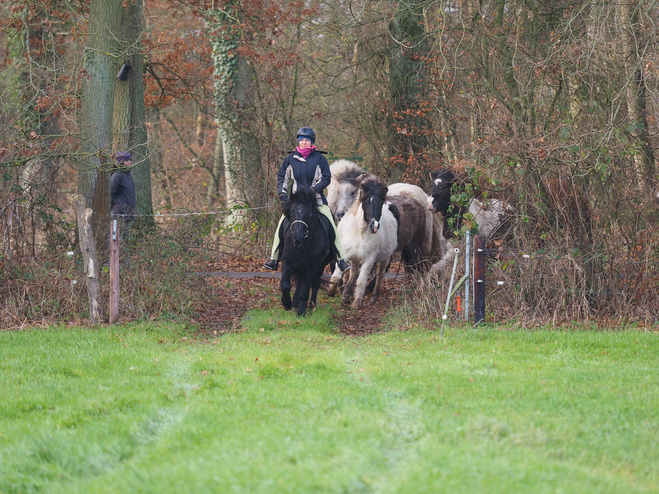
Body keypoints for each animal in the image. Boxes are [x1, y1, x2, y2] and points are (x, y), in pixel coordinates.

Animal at [278, 185, 336, 316]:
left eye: (308, 213)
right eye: (292, 211)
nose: (297, 238)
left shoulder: (312, 267)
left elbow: (305, 290)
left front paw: (301, 312)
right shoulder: (287, 263)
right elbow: (285, 285)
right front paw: (287, 303)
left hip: (319, 267)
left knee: (315, 283)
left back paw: (311, 306)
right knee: (299, 280)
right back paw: (295, 302)